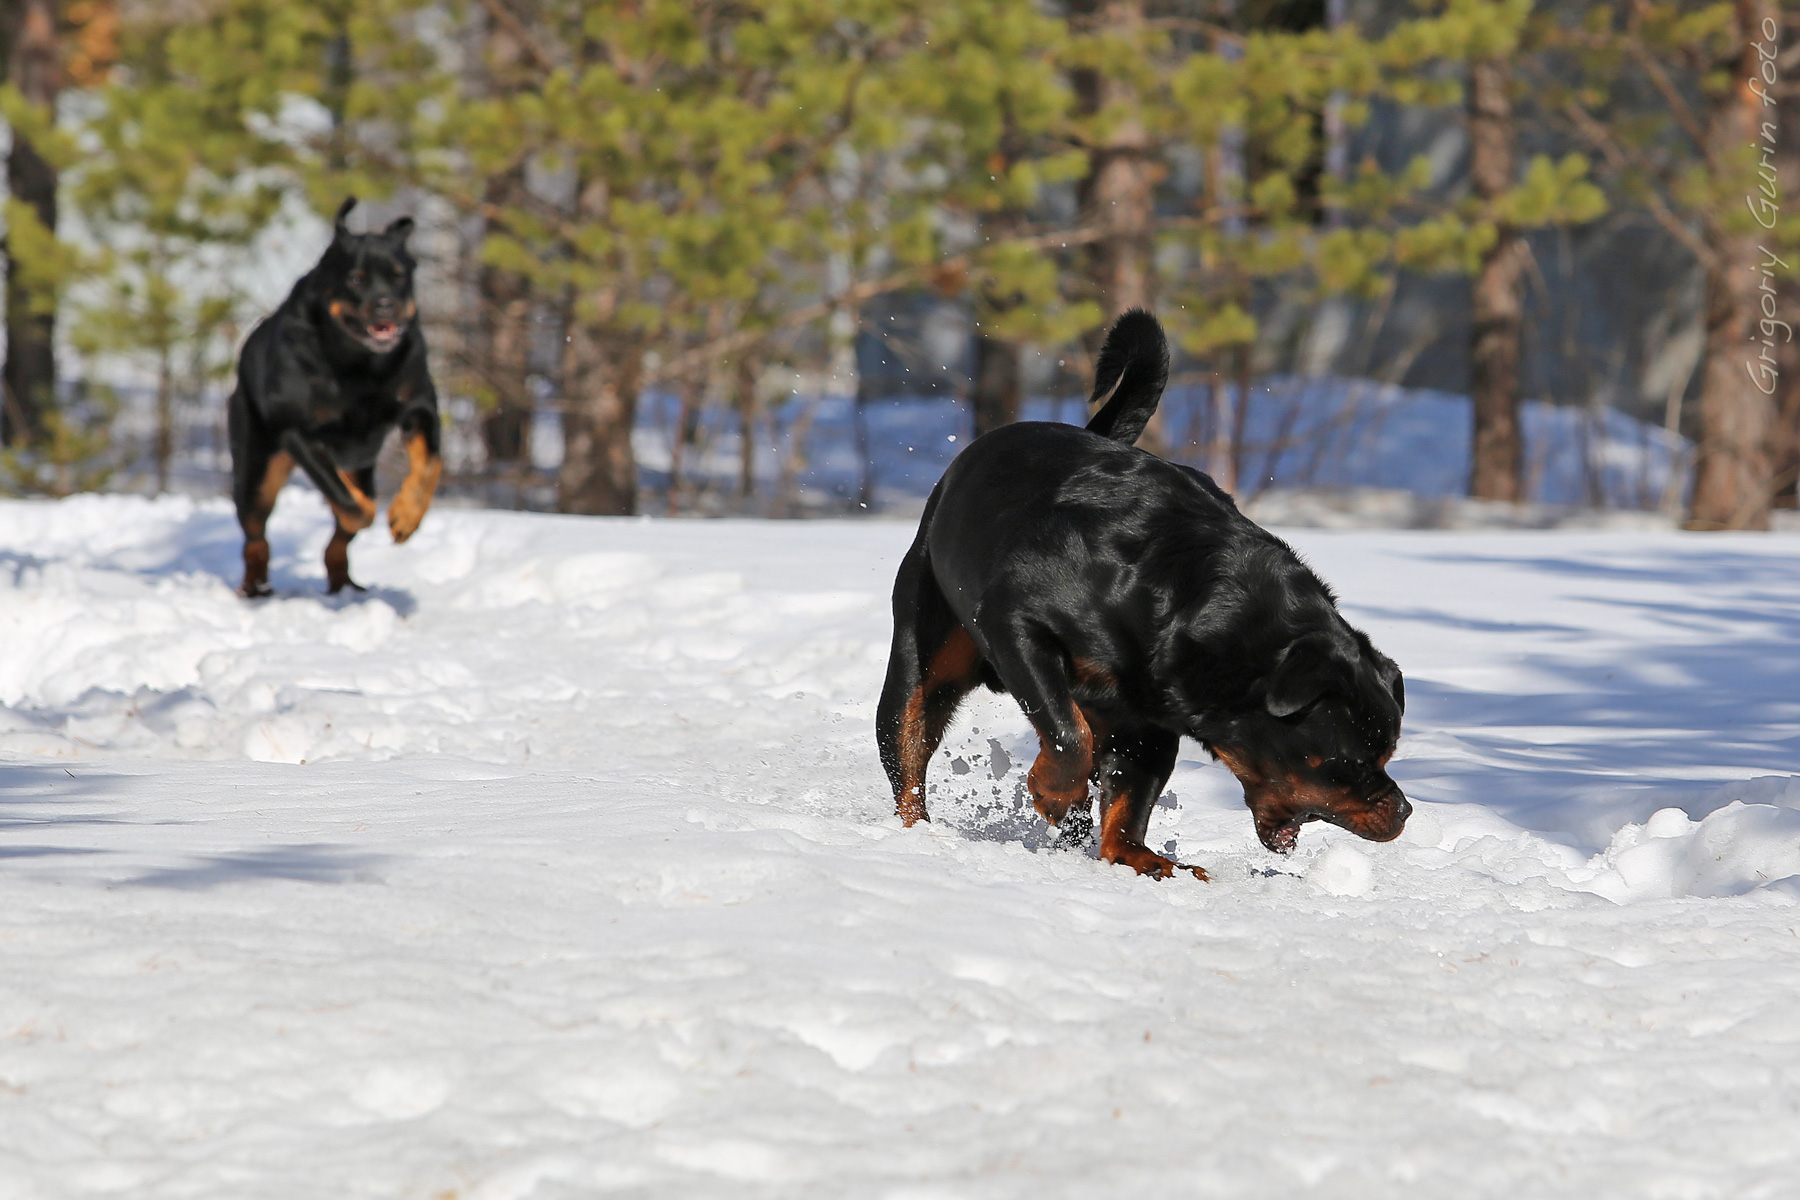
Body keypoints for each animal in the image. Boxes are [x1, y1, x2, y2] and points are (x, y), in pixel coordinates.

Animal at [226, 196, 441, 600]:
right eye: (356, 278)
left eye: (399, 276)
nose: (386, 304)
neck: (359, 365)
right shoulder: (298, 431)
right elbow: (350, 504)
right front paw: (363, 504)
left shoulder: (419, 405)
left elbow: (429, 466)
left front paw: (405, 516)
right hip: (255, 464)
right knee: (255, 532)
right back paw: (254, 585)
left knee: (336, 541)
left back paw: (344, 585)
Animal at [878, 309, 1411, 877]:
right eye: (1351, 762)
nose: (1404, 809)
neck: (1186, 606)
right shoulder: (1014, 624)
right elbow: (1067, 734)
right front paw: (1052, 790)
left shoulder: (1150, 720)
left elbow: (1130, 794)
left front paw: (1138, 855)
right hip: (925, 653)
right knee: (908, 752)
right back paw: (918, 835)